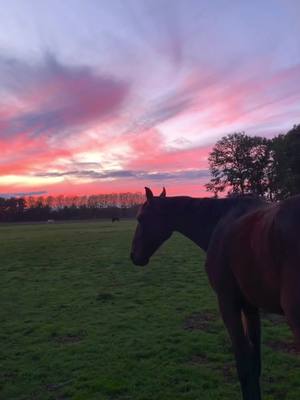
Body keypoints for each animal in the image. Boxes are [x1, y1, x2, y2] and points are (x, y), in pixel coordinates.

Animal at [129, 188, 300, 400]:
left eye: (141, 218)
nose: (134, 256)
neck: (220, 221)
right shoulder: (250, 306)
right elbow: (255, 364)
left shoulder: (228, 302)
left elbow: (244, 366)